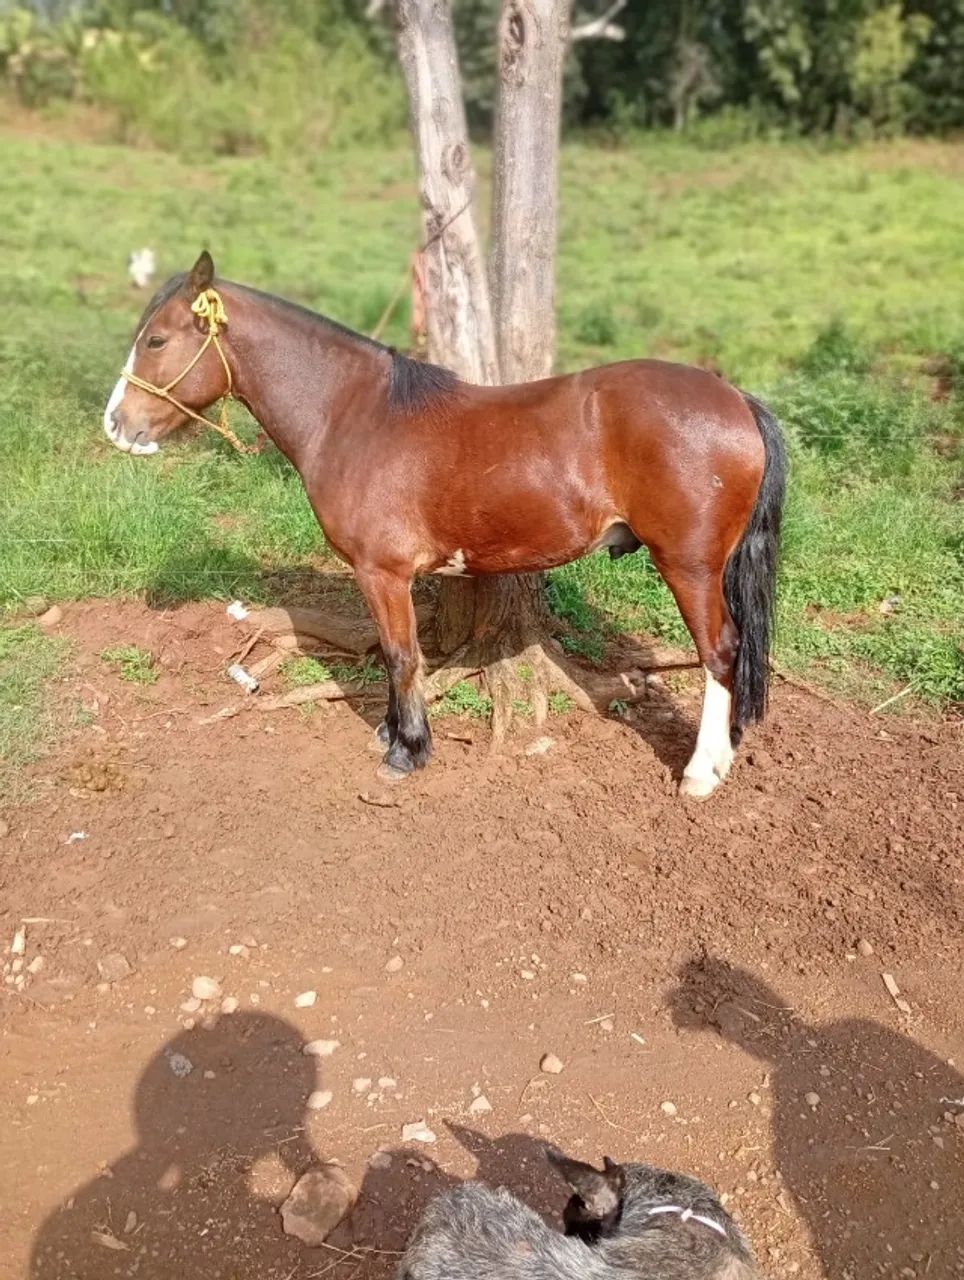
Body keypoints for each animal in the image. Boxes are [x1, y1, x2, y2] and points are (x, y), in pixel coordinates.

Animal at [103, 251, 787, 799]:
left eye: (156, 341)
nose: (115, 424)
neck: (354, 414)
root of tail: (736, 399)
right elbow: (394, 656)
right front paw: (389, 730)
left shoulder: (382, 573)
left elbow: (402, 655)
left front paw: (407, 750)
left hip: (688, 565)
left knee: (721, 651)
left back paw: (701, 773)